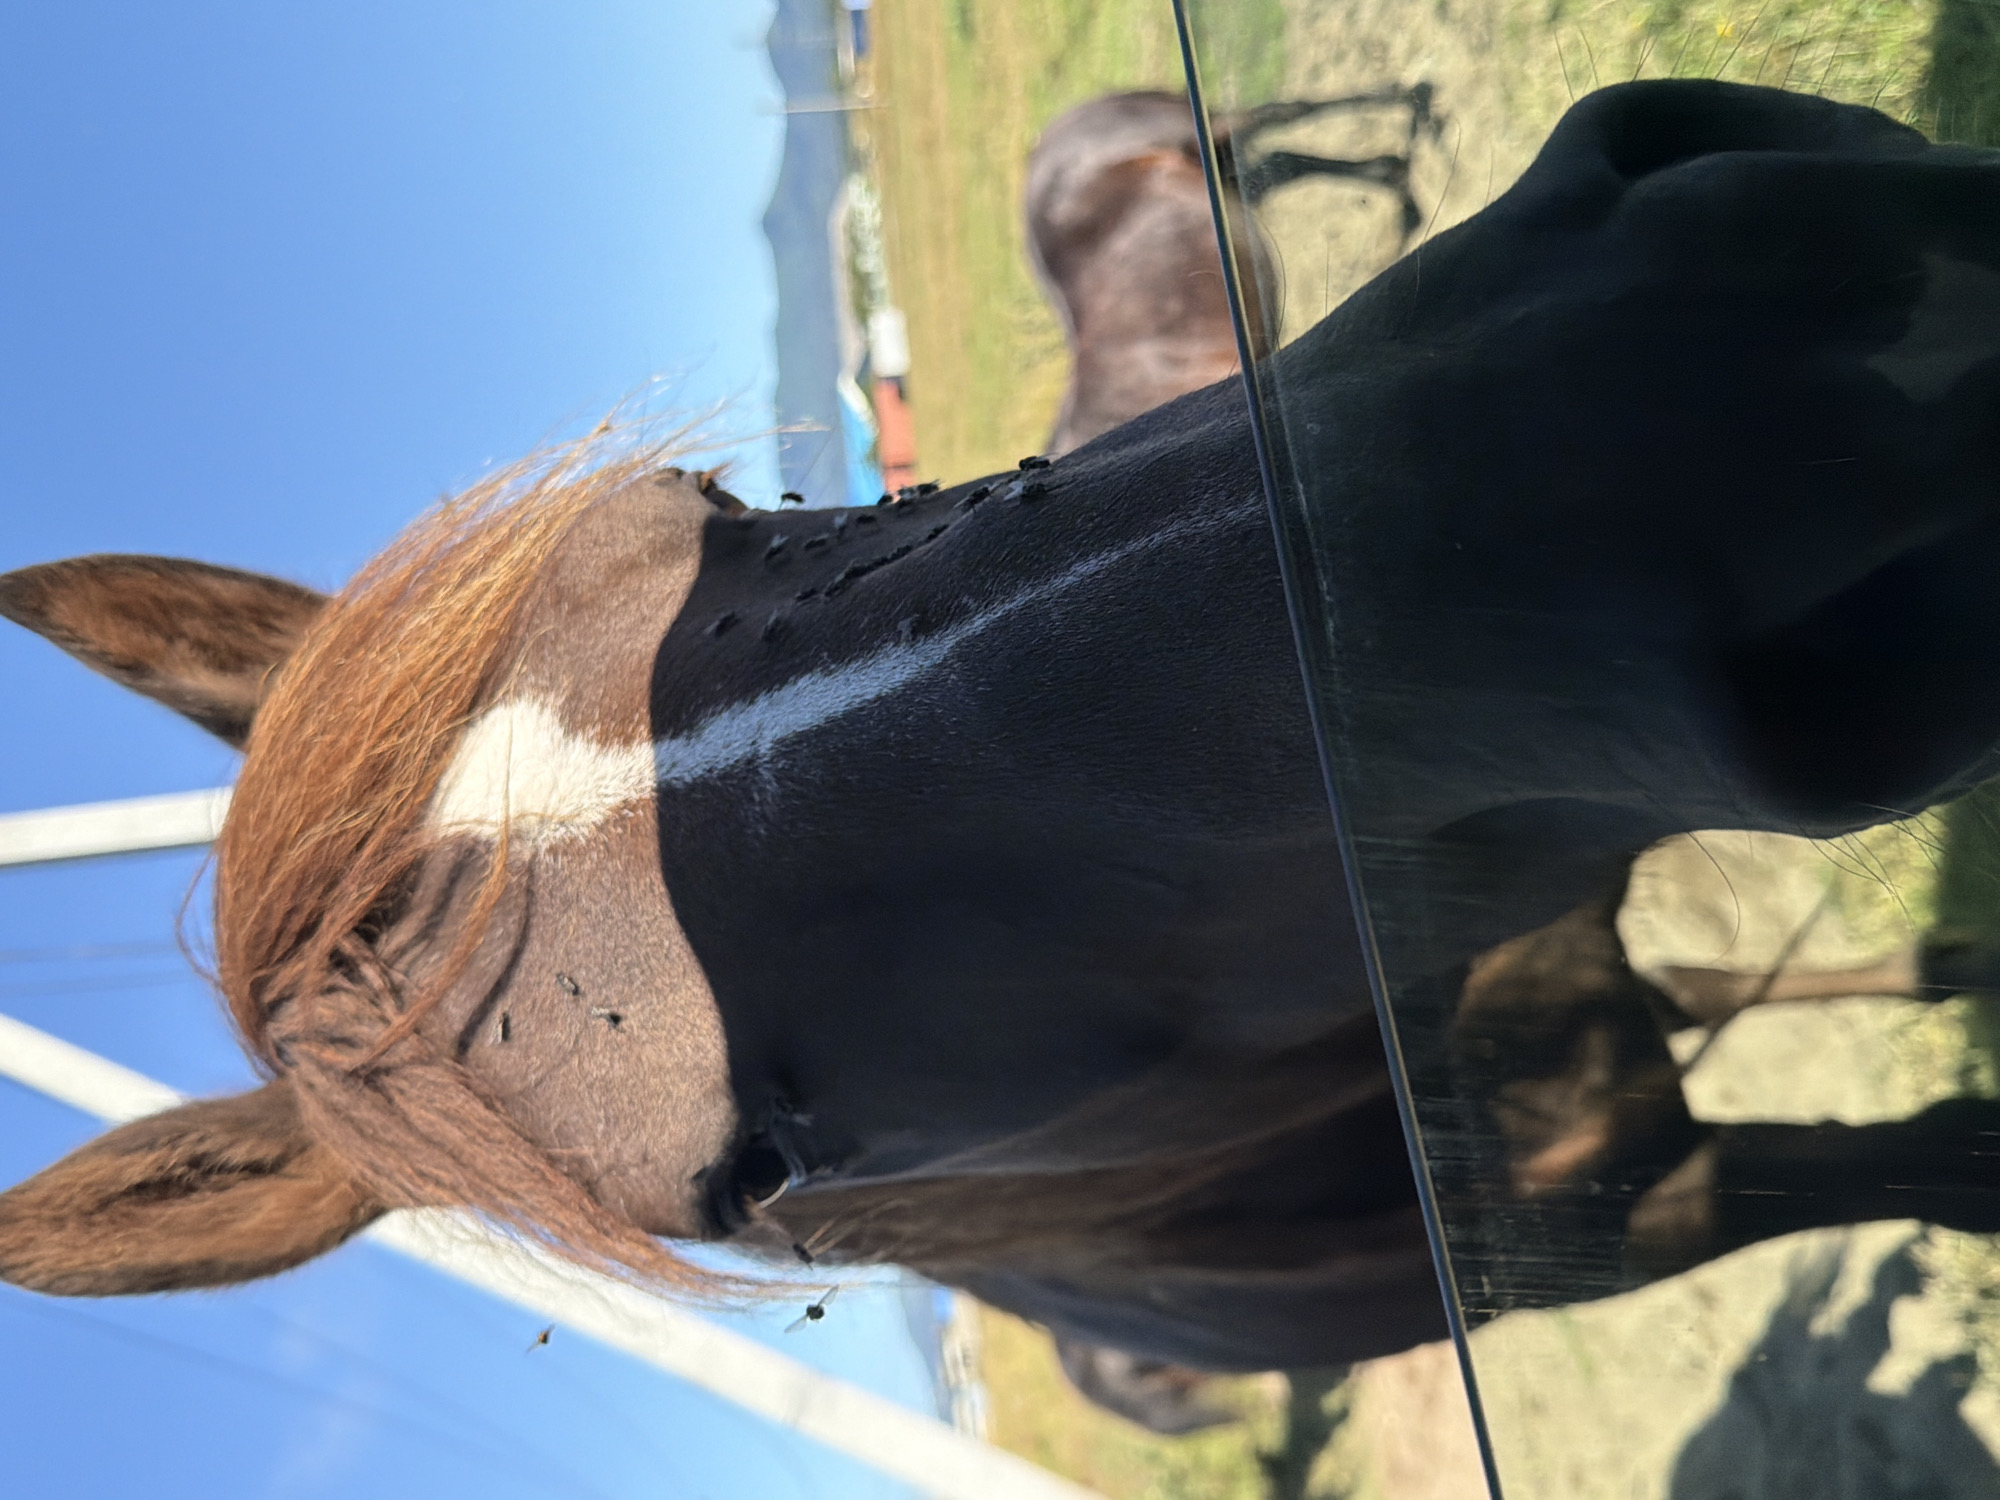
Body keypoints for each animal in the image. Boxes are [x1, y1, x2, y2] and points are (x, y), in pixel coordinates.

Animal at [1026, 86, 1438, 457]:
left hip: (1201, 133)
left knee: (1284, 112)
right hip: (1223, 172)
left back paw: (1413, 102)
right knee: (1284, 160)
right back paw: (1399, 181)